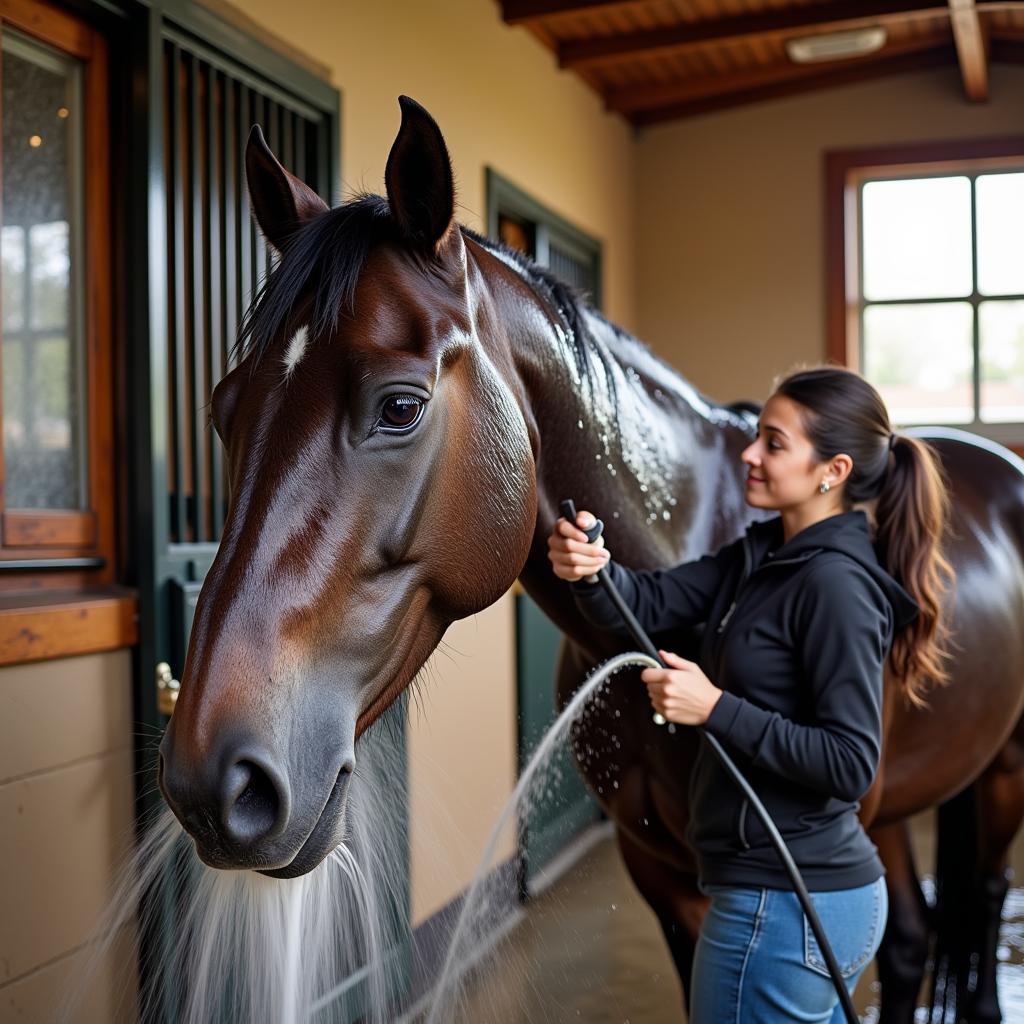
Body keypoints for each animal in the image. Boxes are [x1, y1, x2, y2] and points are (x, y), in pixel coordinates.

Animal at [153, 92, 1024, 1019]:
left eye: (399, 407)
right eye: (224, 409)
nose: (213, 782)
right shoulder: (663, 879)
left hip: (999, 772)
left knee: (979, 898)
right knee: (912, 939)